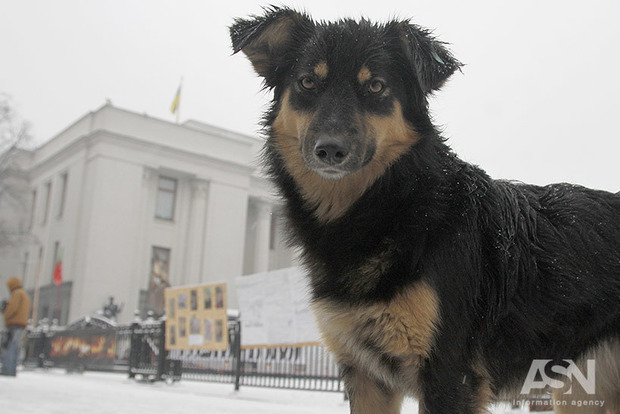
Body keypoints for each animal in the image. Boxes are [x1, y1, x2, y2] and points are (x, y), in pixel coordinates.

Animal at [231, 7, 620, 414]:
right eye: (307, 82)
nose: (330, 150)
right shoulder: (366, 376)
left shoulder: (447, 373)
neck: (395, 205)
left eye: (376, 86)